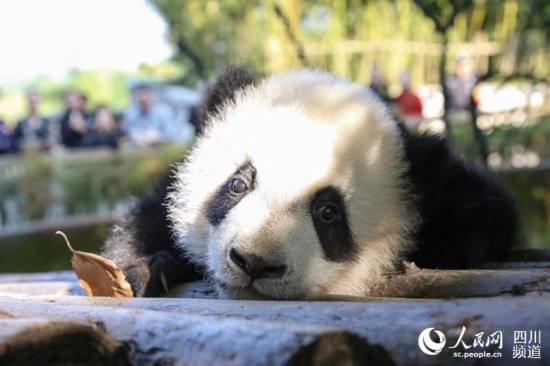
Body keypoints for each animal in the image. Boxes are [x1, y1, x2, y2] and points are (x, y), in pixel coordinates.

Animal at [102, 67, 516, 298]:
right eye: (238, 185)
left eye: (328, 212)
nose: (254, 263)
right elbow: (143, 223)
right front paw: (143, 269)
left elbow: (482, 208)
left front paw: (464, 243)